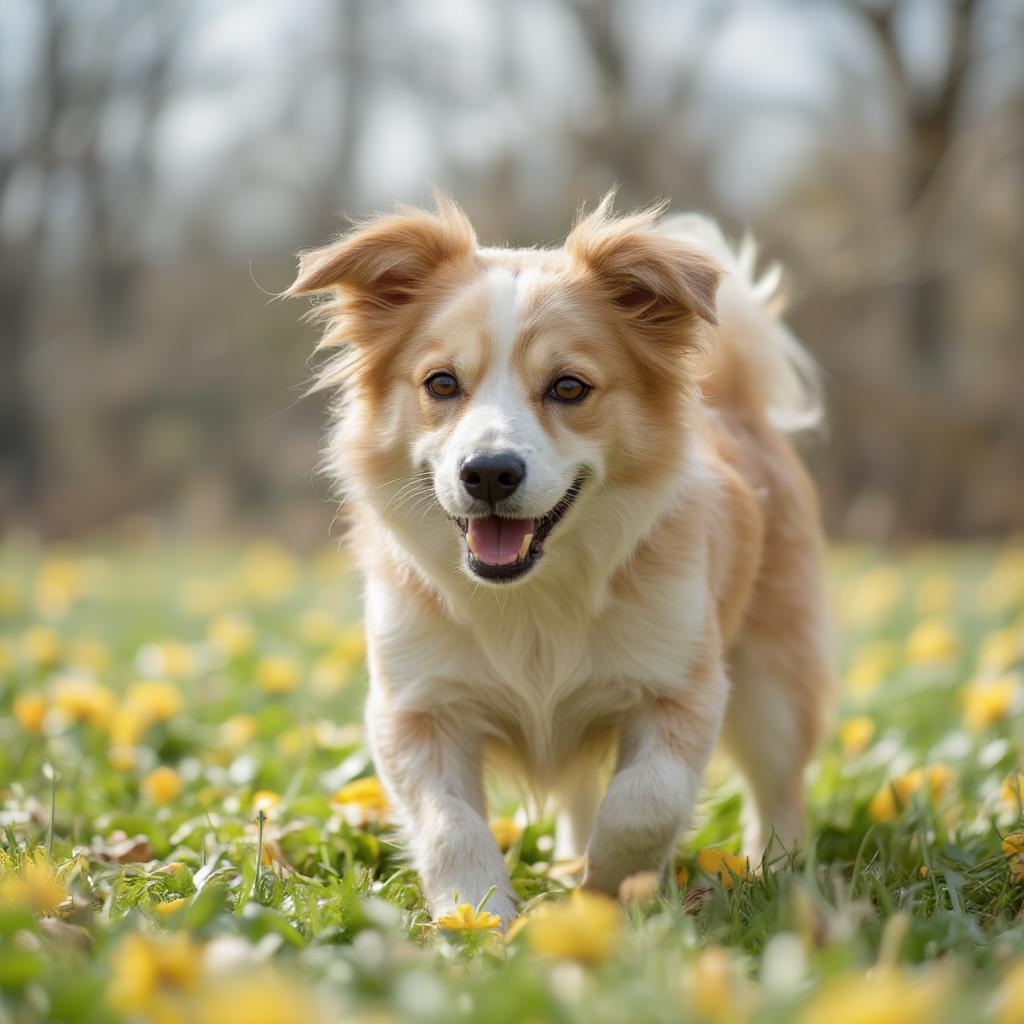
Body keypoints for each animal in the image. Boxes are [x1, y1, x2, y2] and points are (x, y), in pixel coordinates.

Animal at [286, 193, 831, 929]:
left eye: (569, 387)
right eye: (441, 383)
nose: (488, 472)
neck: (532, 595)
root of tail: (737, 403)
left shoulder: (683, 684)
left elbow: (645, 799)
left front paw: (610, 889)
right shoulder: (415, 706)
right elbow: (449, 822)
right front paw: (478, 916)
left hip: (774, 678)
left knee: (778, 783)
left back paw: (783, 874)